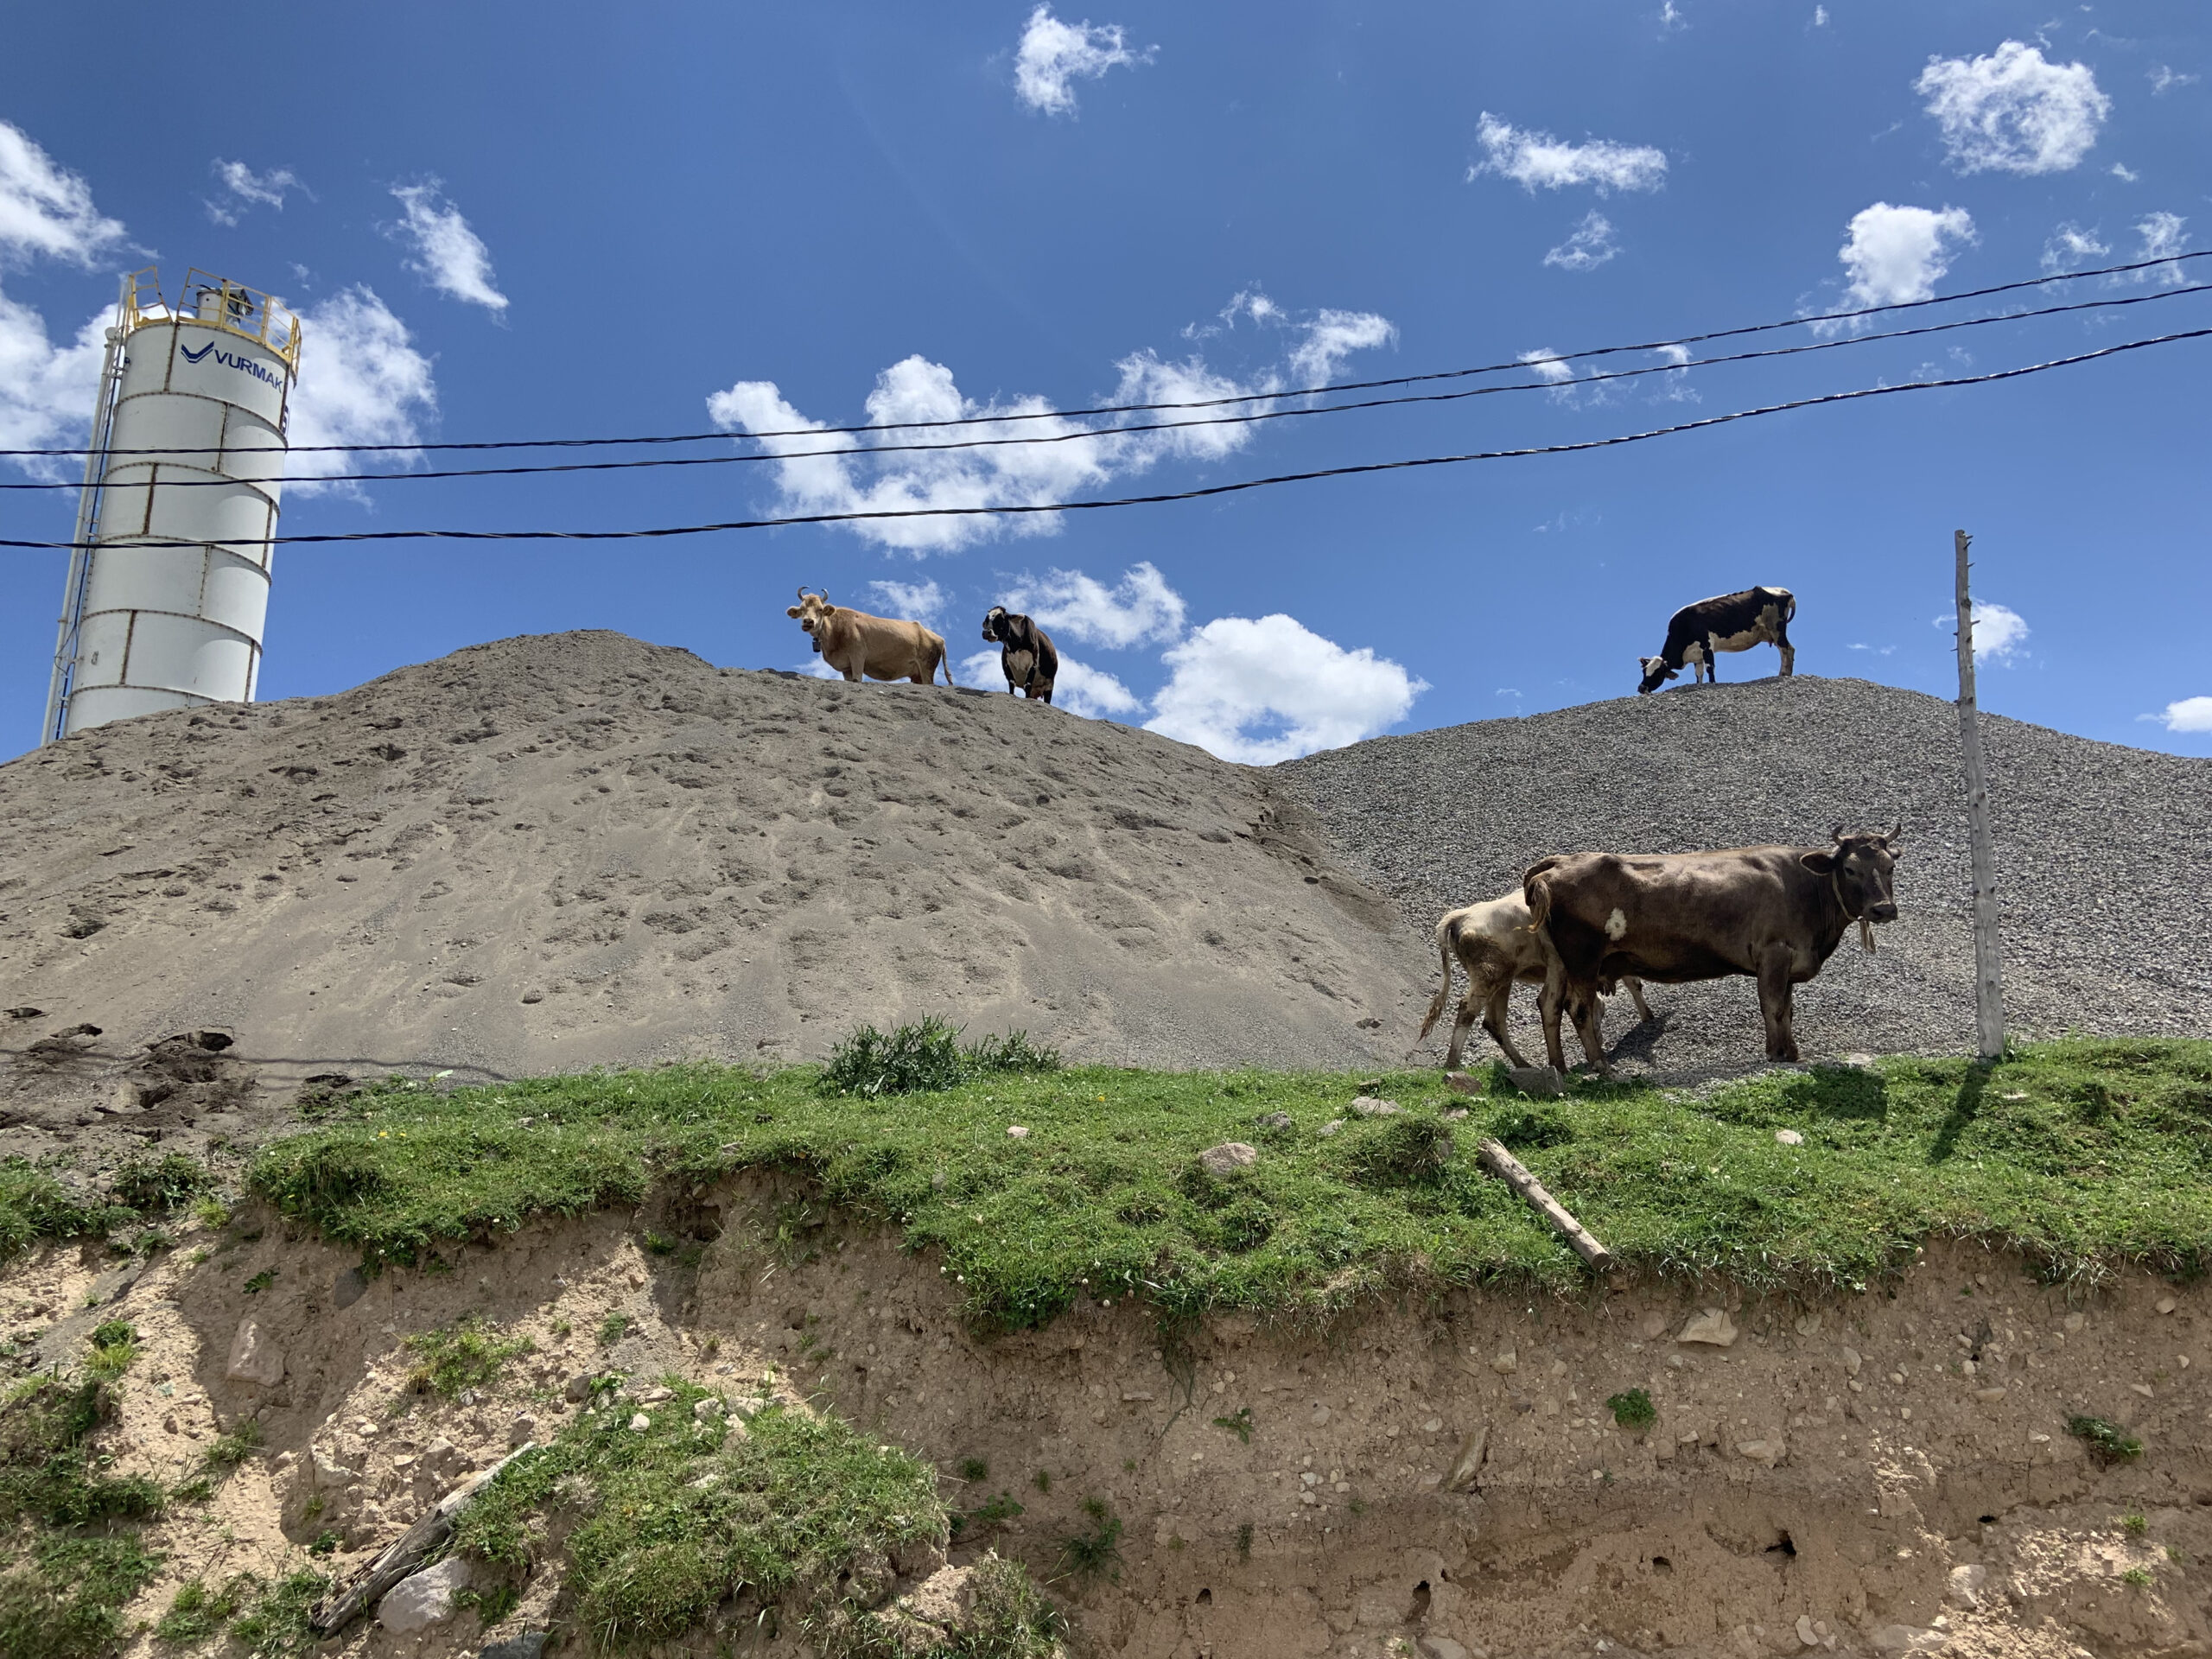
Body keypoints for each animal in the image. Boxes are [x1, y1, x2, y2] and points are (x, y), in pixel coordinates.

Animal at [783, 593, 955, 690]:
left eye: (820, 609)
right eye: (802, 609)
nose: (808, 622)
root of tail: (939, 637)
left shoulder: (858, 656)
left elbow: (857, 679)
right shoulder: (846, 667)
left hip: (927, 669)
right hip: (917, 674)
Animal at [1415, 889, 1645, 1071]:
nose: (1599, 1042)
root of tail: (1462, 915)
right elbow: (1632, 983)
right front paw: (1647, 1018)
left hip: (1502, 980)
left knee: (1494, 1021)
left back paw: (1523, 1064)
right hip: (1489, 976)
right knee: (1467, 1010)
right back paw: (1452, 1063)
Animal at [1522, 827, 1902, 1079]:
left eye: (1890, 867)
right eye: (1849, 868)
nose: (1883, 909)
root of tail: (1558, 862)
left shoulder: (1789, 961)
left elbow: (1788, 1009)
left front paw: (1790, 1050)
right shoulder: (1774, 953)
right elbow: (1774, 1007)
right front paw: (1778, 1054)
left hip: (1559, 962)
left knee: (1550, 1005)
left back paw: (1559, 1067)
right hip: (1583, 959)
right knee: (1580, 1009)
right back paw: (1601, 1065)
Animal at [1645, 588, 1796, 690]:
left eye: (1658, 672)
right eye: (1643, 671)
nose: (1641, 688)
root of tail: (1782, 590)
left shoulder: (1706, 645)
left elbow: (1710, 668)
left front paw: (1712, 683)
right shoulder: (1696, 655)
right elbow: (1698, 674)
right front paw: (1699, 685)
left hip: (1776, 629)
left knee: (1786, 650)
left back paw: (1784, 674)